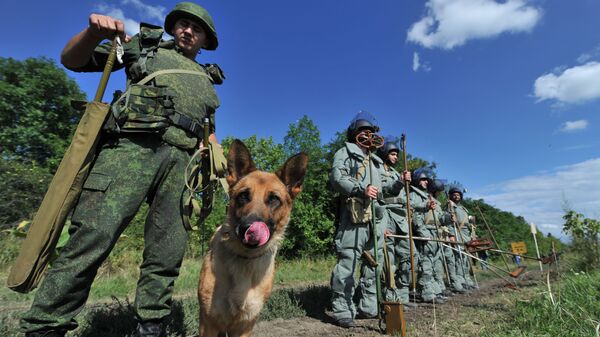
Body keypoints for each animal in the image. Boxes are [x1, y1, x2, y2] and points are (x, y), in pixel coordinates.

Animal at [199, 139, 308, 336]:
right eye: (243, 195)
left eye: (274, 199)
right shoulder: (208, 324)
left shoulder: (245, 325)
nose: (247, 229)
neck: (245, 259)